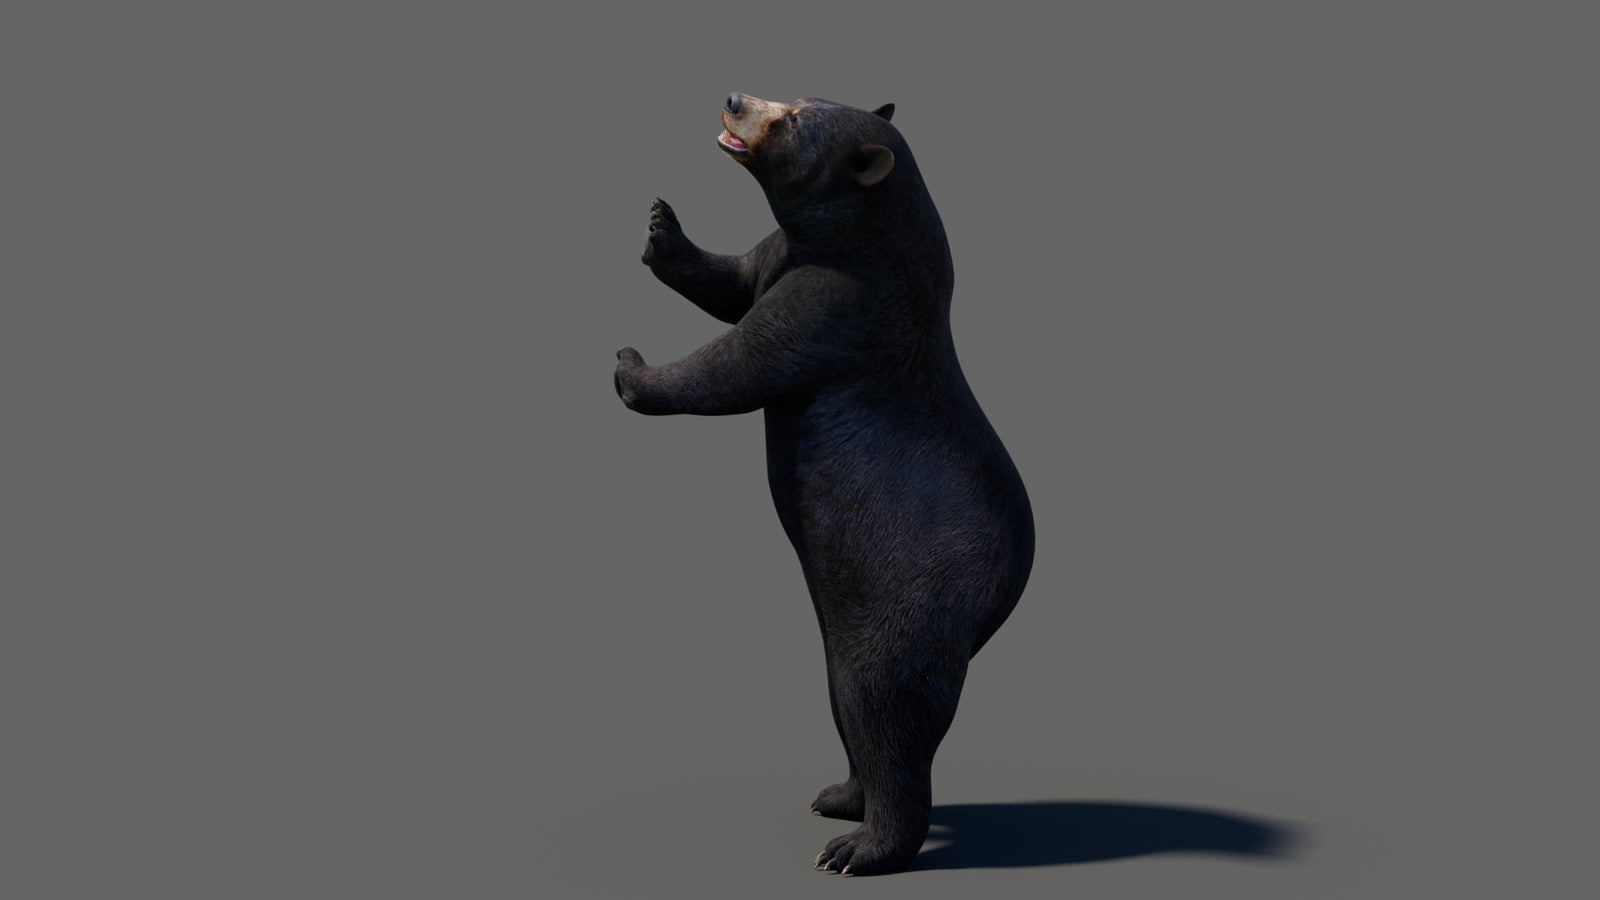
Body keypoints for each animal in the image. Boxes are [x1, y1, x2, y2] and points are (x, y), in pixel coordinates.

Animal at [613, 92, 1034, 875]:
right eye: (797, 96)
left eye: (793, 120)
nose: (735, 99)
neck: (861, 238)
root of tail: (1003, 595)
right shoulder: (787, 256)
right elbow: (735, 279)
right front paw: (661, 226)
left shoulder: (844, 303)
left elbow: (740, 360)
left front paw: (632, 367)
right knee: (848, 702)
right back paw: (840, 796)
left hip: (913, 597)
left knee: (885, 705)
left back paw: (860, 847)